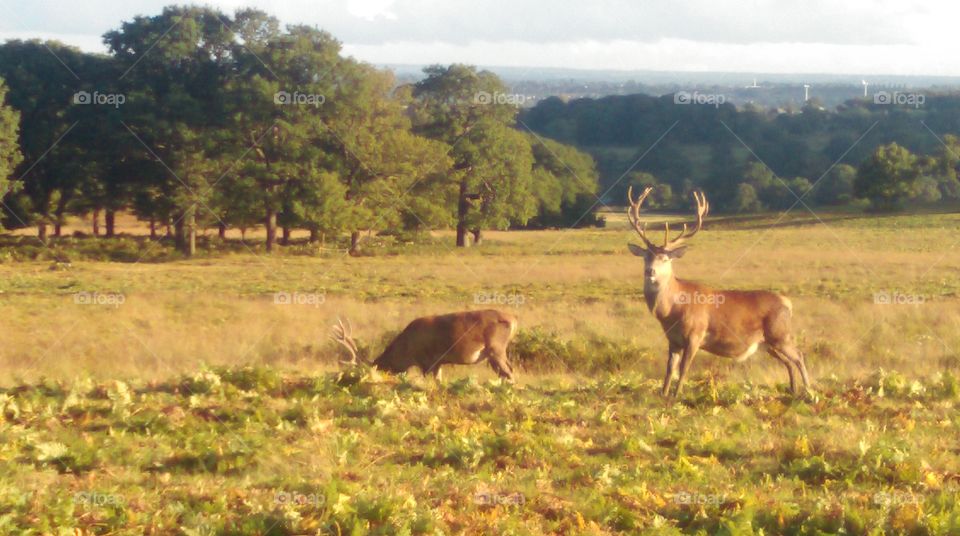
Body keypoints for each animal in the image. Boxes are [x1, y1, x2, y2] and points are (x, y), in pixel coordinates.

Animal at [626, 186, 810, 397]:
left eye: (665, 258)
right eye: (645, 257)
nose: (650, 271)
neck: (671, 312)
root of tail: (788, 302)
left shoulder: (696, 334)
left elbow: (684, 369)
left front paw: (677, 395)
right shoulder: (673, 340)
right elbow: (669, 369)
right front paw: (663, 394)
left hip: (780, 333)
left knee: (799, 356)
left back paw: (809, 390)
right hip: (768, 342)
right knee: (788, 361)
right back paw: (793, 389)